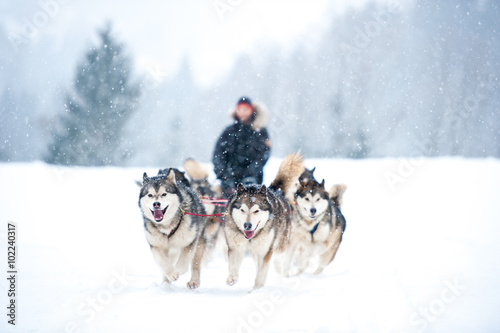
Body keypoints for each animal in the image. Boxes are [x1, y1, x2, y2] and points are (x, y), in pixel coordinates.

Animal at [224, 152, 304, 290]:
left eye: (256, 211)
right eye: (242, 210)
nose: (247, 225)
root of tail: (273, 190)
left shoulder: (265, 251)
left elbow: (262, 272)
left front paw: (257, 288)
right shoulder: (235, 246)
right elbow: (233, 265)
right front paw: (232, 278)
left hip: (279, 244)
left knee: (278, 260)